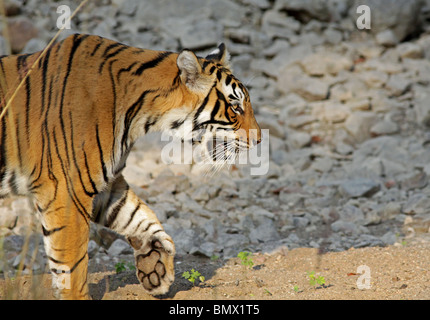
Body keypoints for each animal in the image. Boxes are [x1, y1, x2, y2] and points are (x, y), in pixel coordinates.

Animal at [0, 33, 260, 298]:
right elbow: (72, 263)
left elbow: (138, 215)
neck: (141, 115)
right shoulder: (67, 188)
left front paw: (155, 267)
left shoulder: (105, 182)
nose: (259, 140)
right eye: (235, 107)